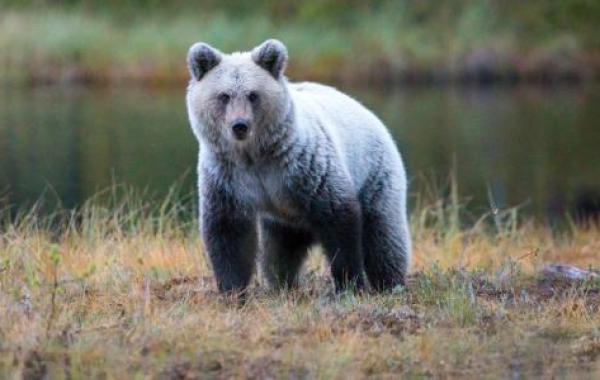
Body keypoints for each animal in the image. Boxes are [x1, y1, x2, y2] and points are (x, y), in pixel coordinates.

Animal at [186, 39, 412, 294]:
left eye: (253, 95)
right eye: (224, 96)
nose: (239, 126)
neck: (254, 156)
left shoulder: (304, 167)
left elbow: (339, 219)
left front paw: (348, 284)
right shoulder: (227, 177)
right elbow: (228, 232)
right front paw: (232, 290)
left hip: (375, 173)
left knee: (384, 235)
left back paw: (389, 283)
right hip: (284, 218)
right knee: (278, 252)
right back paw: (282, 283)